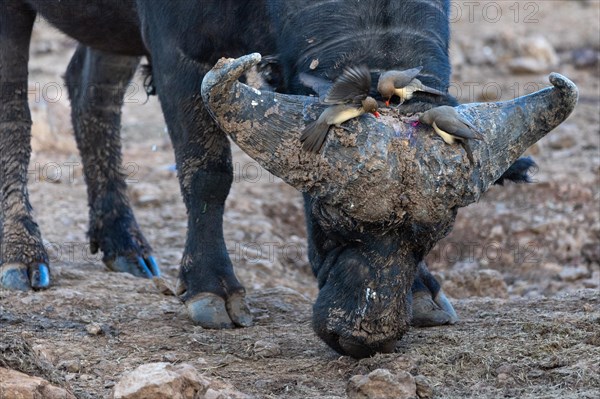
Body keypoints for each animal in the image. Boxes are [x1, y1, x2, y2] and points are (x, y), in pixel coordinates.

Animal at [0, 0, 576, 358]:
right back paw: (24, 257)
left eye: (441, 230)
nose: (363, 337)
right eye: (330, 213)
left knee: (88, 89)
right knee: (16, 114)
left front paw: (421, 292)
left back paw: (124, 242)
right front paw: (212, 289)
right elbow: (207, 172)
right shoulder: (179, 51)